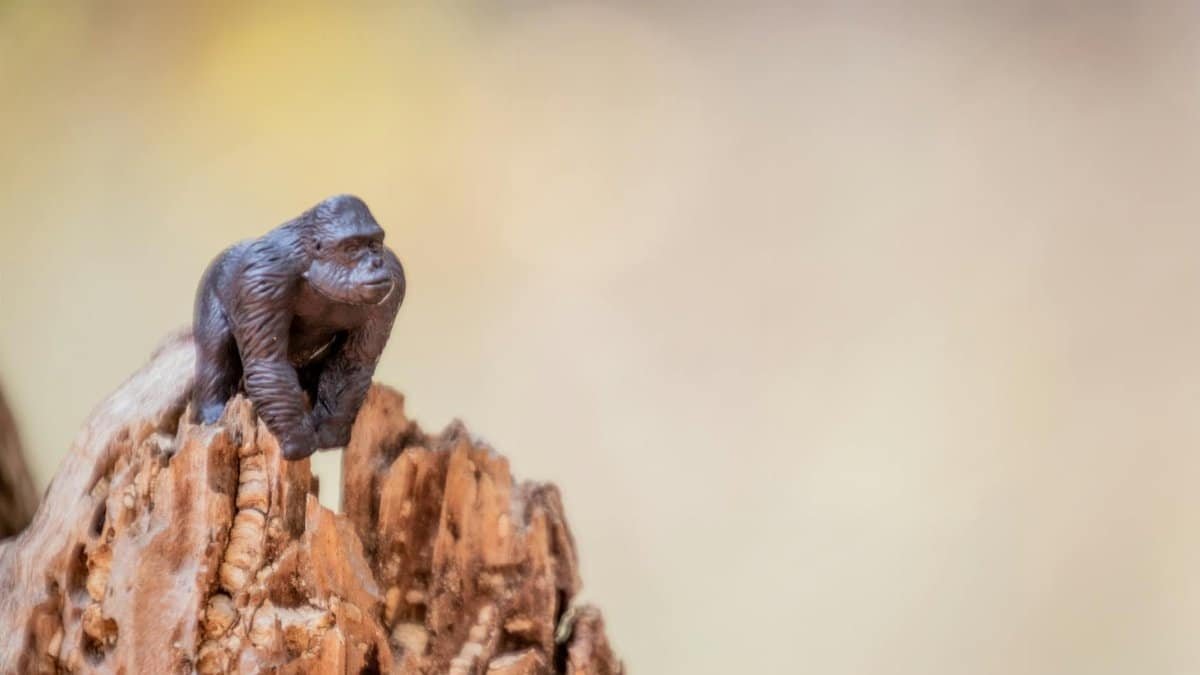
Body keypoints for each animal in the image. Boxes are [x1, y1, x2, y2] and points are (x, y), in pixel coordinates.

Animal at [190, 194, 405, 460]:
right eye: (352, 248)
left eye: (374, 245)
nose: (376, 263)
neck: (312, 268)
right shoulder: (263, 278)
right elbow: (268, 364)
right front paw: (298, 441)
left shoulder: (394, 279)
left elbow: (353, 363)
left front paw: (331, 431)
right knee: (215, 352)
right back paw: (211, 412)